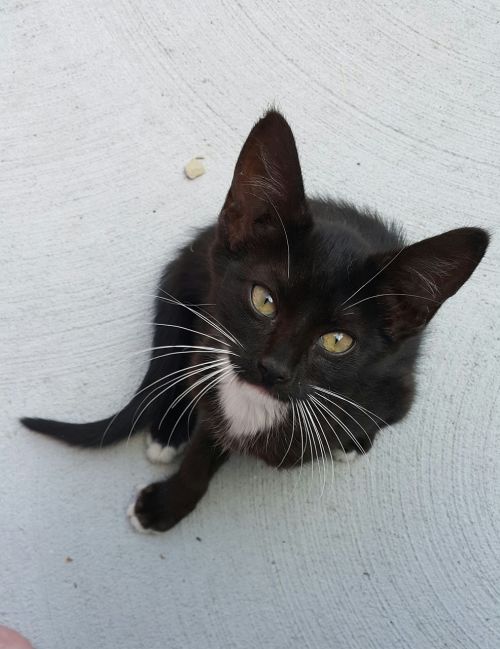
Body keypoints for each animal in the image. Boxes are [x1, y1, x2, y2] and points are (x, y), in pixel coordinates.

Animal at [22, 107, 488, 532]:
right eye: (263, 300)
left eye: (337, 341)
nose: (272, 368)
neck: (260, 406)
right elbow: (202, 451)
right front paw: (170, 502)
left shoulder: (398, 387)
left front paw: (356, 439)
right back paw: (169, 430)